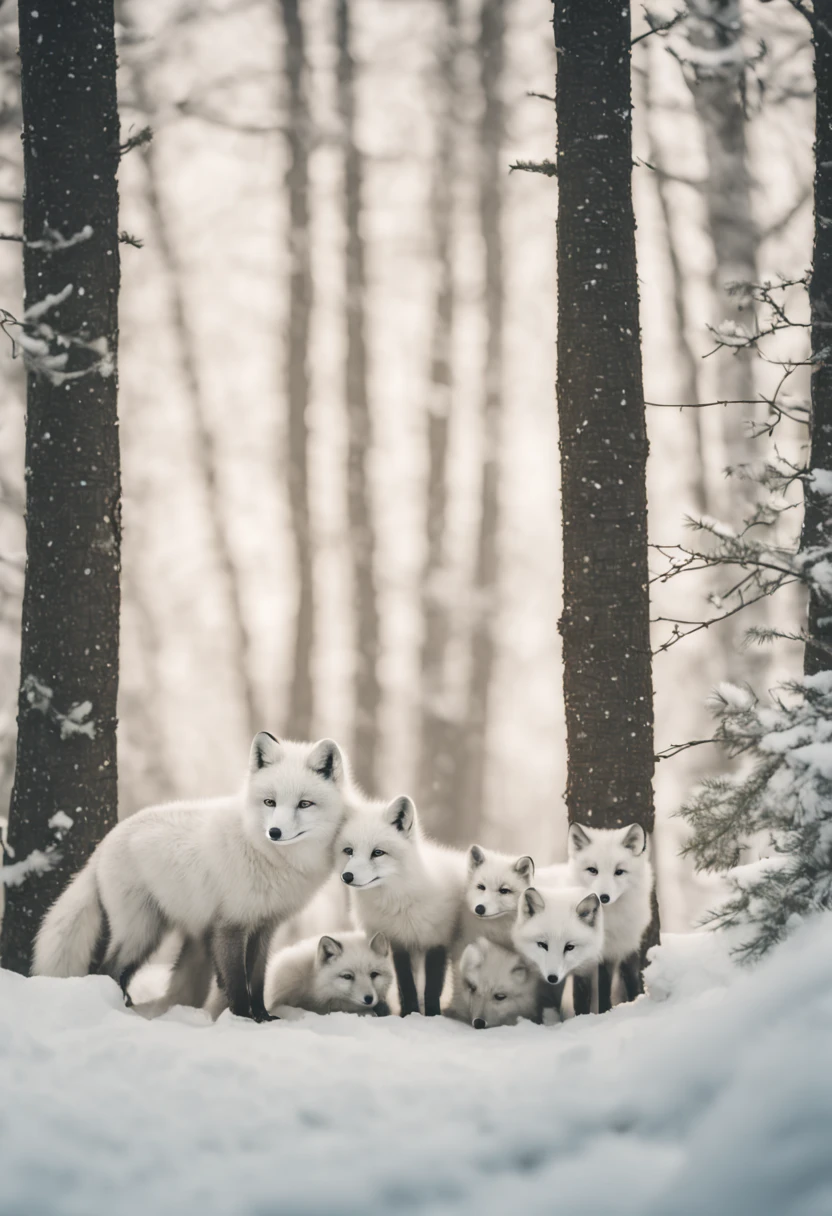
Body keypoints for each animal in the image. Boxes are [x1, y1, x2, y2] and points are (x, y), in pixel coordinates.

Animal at [33, 734, 347, 1021]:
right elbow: (236, 982)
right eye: (270, 802)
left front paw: (263, 1016)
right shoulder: (230, 923)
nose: (275, 832)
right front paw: (241, 1019)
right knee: (108, 969)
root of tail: (104, 843)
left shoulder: (265, 924)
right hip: (141, 932)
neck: (270, 856)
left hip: (149, 932)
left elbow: (257, 979)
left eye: (304, 804)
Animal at [335, 797, 464, 1016]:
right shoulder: (397, 941)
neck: (399, 903)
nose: (347, 876)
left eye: (378, 853)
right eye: (349, 851)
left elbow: (432, 987)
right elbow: (406, 985)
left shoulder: (437, 940)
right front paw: (410, 1014)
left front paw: (432, 1015)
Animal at [569, 822, 651, 1011]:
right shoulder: (595, 956)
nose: (603, 897)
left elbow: (632, 979)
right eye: (592, 870)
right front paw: (598, 1013)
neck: (612, 921)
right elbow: (593, 990)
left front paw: (636, 1000)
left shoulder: (626, 945)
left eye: (619, 872)